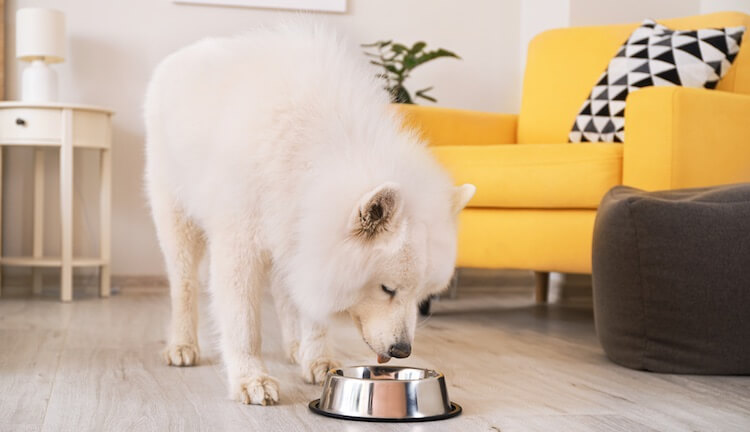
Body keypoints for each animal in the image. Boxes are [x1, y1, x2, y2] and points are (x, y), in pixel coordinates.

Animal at [144, 21, 476, 404]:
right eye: (387, 289)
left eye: (422, 297)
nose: (402, 350)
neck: (315, 156)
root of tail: (177, 57)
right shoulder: (241, 246)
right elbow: (243, 323)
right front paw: (251, 378)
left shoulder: (308, 239)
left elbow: (311, 308)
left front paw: (316, 359)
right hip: (176, 217)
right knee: (183, 285)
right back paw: (182, 344)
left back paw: (295, 347)